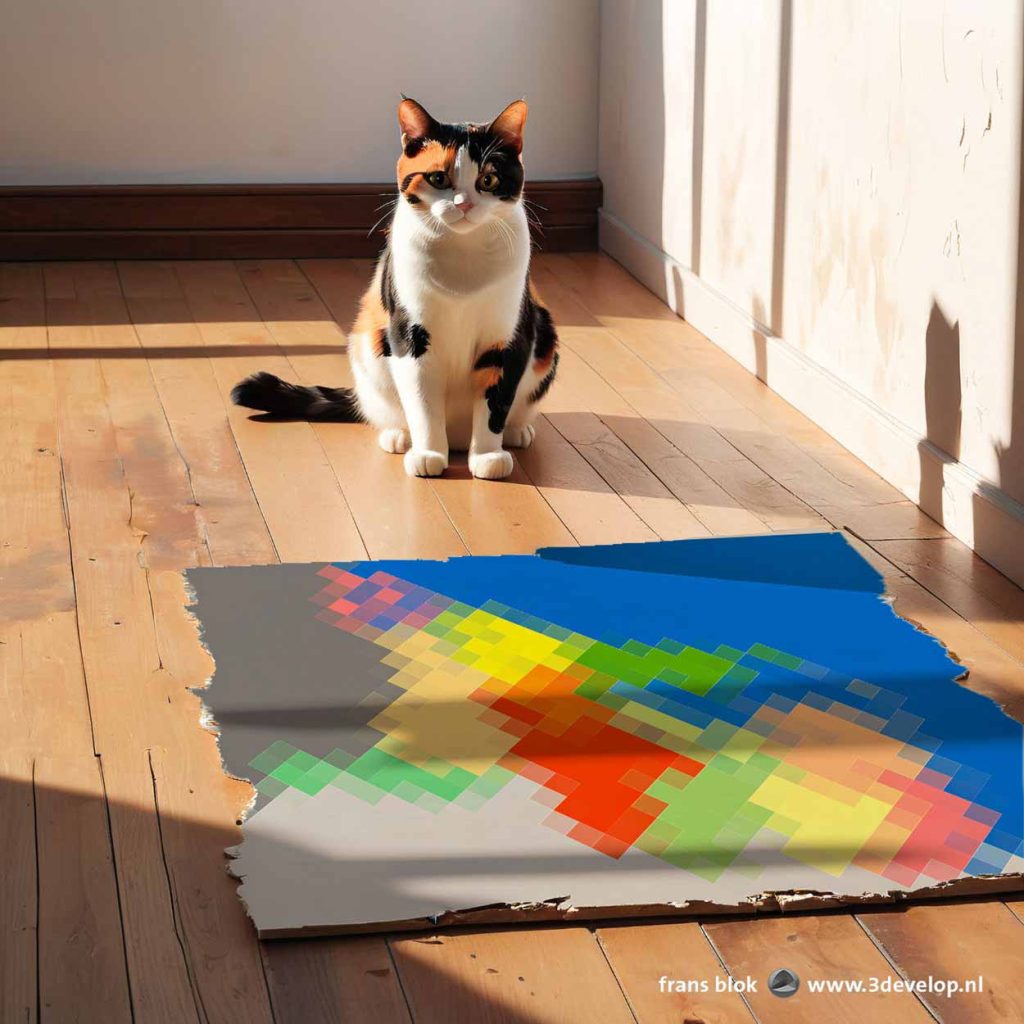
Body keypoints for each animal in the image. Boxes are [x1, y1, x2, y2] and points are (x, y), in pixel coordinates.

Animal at [231, 96, 557, 479]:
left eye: (489, 179)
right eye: (438, 177)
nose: (463, 204)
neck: (463, 259)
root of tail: (458, 438)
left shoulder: (508, 334)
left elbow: (497, 398)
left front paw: (488, 456)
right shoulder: (410, 332)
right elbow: (422, 403)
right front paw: (428, 454)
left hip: (544, 336)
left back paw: (516, 432)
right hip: (368, 350)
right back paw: (399, 437)